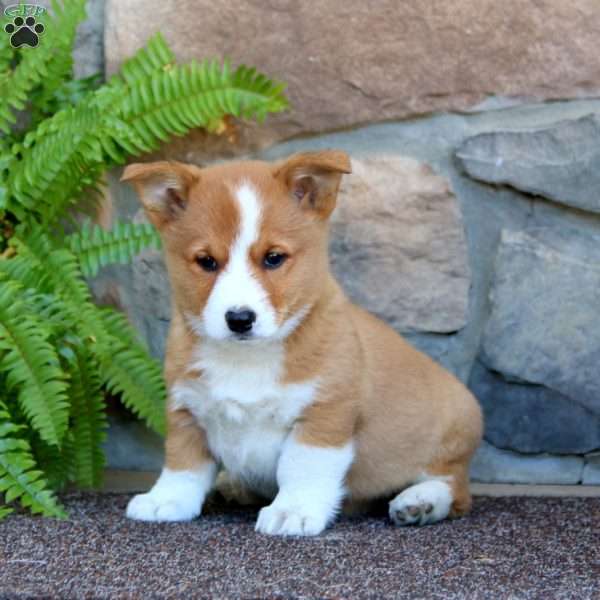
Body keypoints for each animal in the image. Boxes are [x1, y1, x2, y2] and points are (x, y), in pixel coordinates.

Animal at [122, 152, 482, 536]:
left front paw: (291, 511)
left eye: (273, 258)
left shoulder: (323, 415)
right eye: (206, 261)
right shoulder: (185, 409)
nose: (239, 319)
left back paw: (420, 502)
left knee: (454, 488)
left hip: (444, 445)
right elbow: (182, 465)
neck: (246, 358)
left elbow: (301, 468)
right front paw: (164, 500)